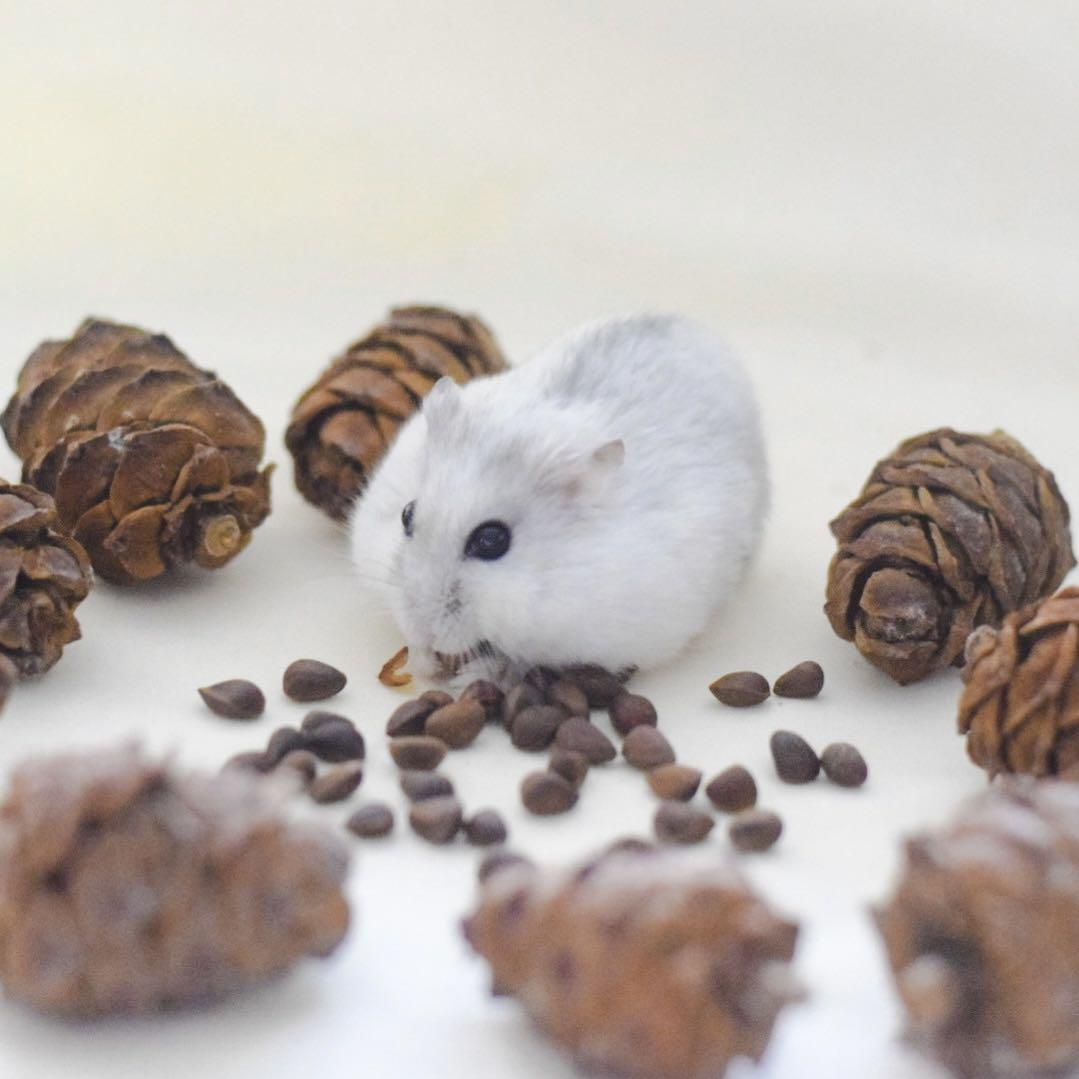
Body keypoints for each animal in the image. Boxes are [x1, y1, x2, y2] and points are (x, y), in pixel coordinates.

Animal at [350, 314, 768, 687]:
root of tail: (696, 327)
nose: (423, 627)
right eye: (407, 515)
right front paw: (422, 663)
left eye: (492, 540)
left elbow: (521, 660)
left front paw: (471, 676)